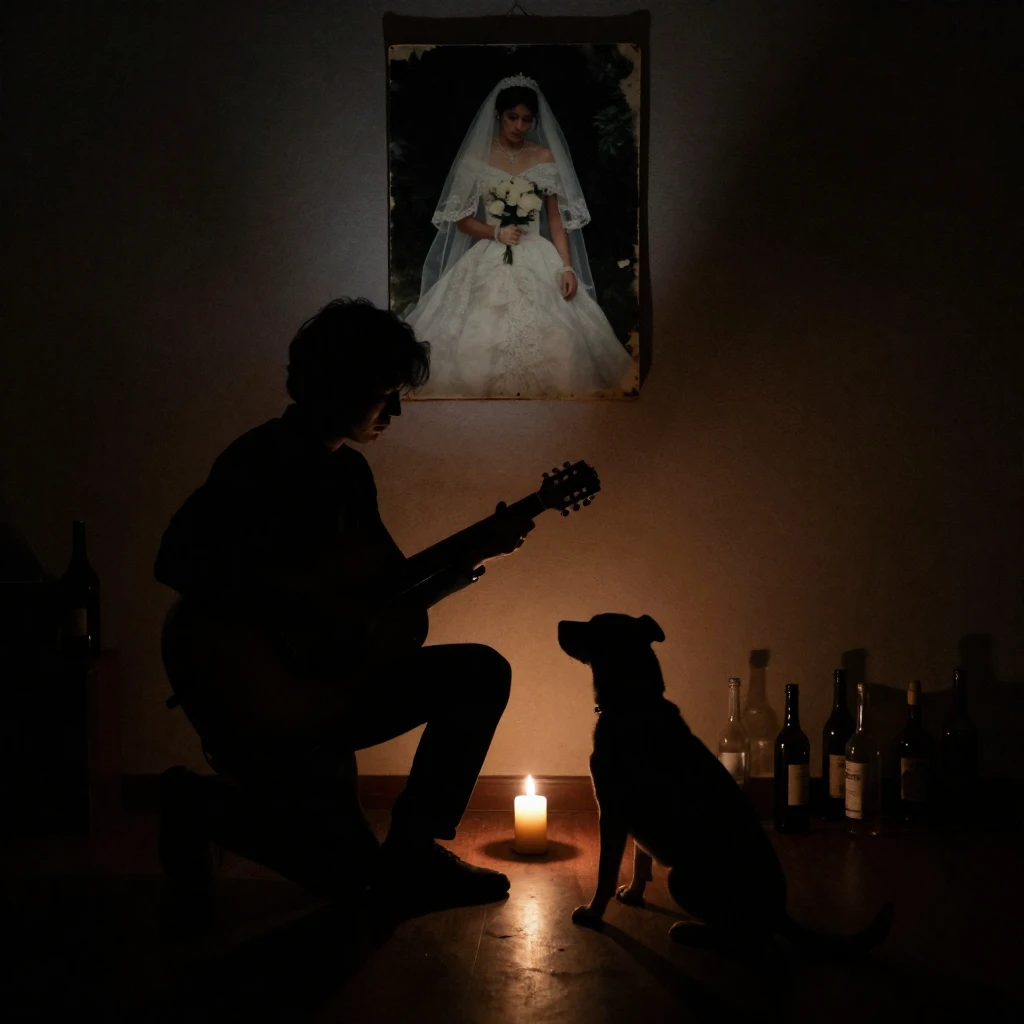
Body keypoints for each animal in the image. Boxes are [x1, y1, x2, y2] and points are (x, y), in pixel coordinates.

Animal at [559, 613, 893, 956]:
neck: (635, 702)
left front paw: (593, 913)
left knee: (742, 937)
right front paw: (634, 894)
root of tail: (778, 911)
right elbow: (641, 860)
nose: (559, 624)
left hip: (682, 880)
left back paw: (692, 931)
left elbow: (605, 874)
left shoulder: (612, 815)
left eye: (595, 625)